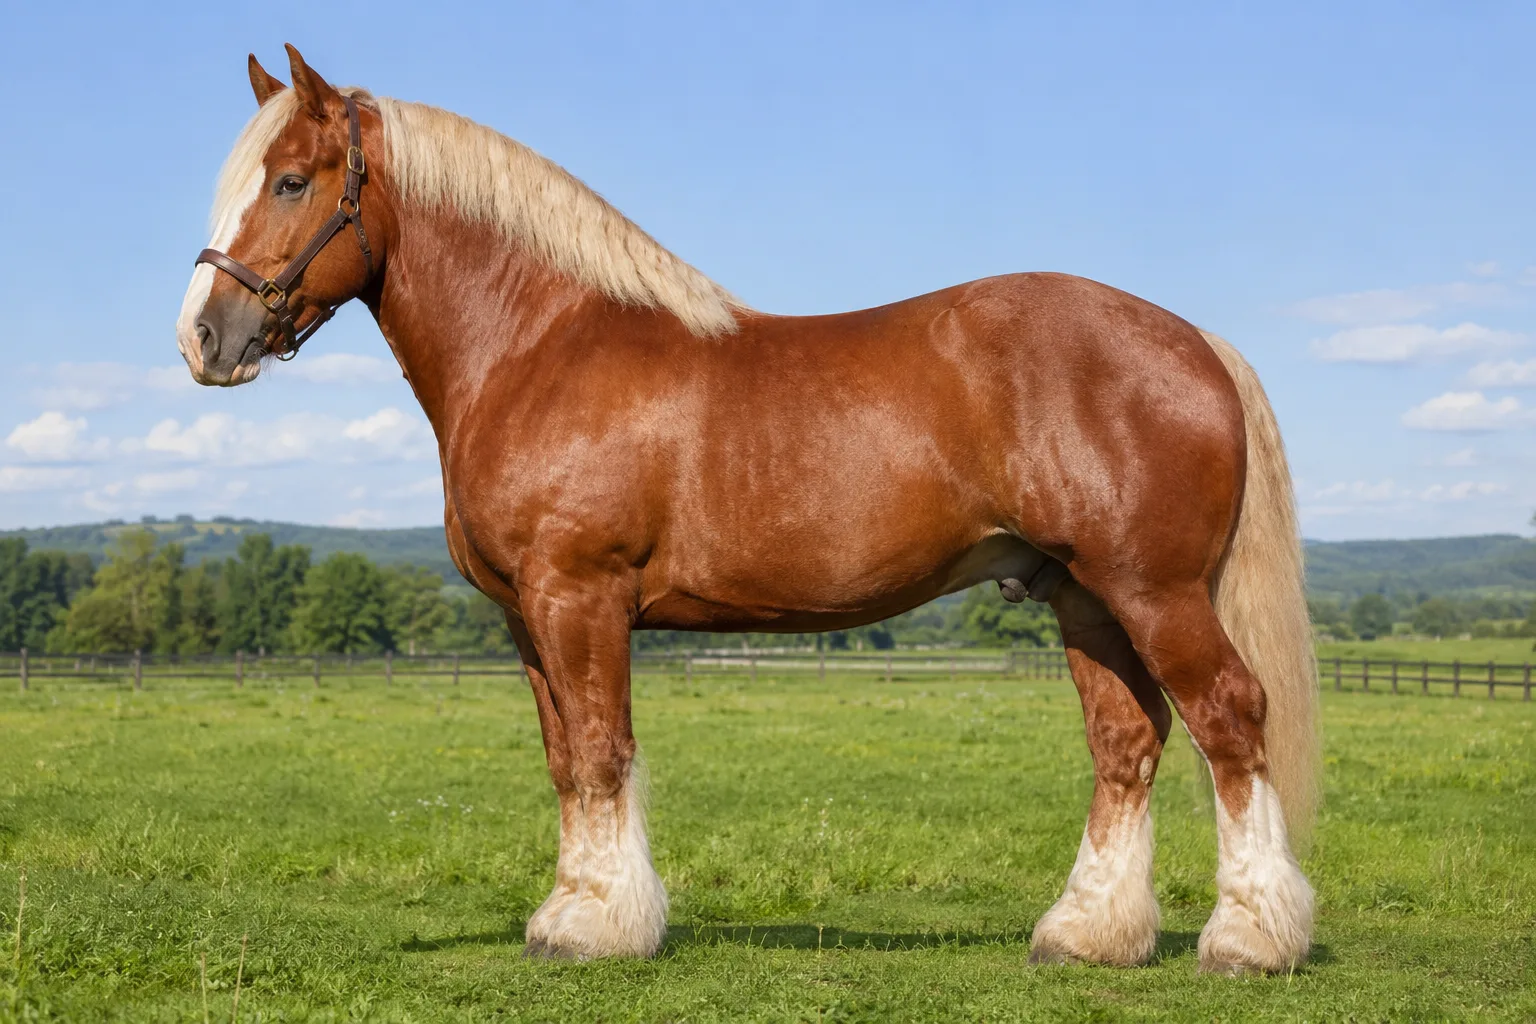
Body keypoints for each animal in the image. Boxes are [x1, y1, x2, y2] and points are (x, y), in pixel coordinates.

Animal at [177, 45, 1320, 973]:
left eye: (291, 180)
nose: (203, 337)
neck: (540, 343)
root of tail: (1195, 341)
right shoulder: (525, 617)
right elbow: (564, 760)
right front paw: (567, 913)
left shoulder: (580, 597)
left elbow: (603, 751)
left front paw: (600, 927)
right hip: (1084, 598)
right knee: (1127, 743)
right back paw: (1088, 935)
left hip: (1155, 592)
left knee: (1230, 717)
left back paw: (1248, 940)